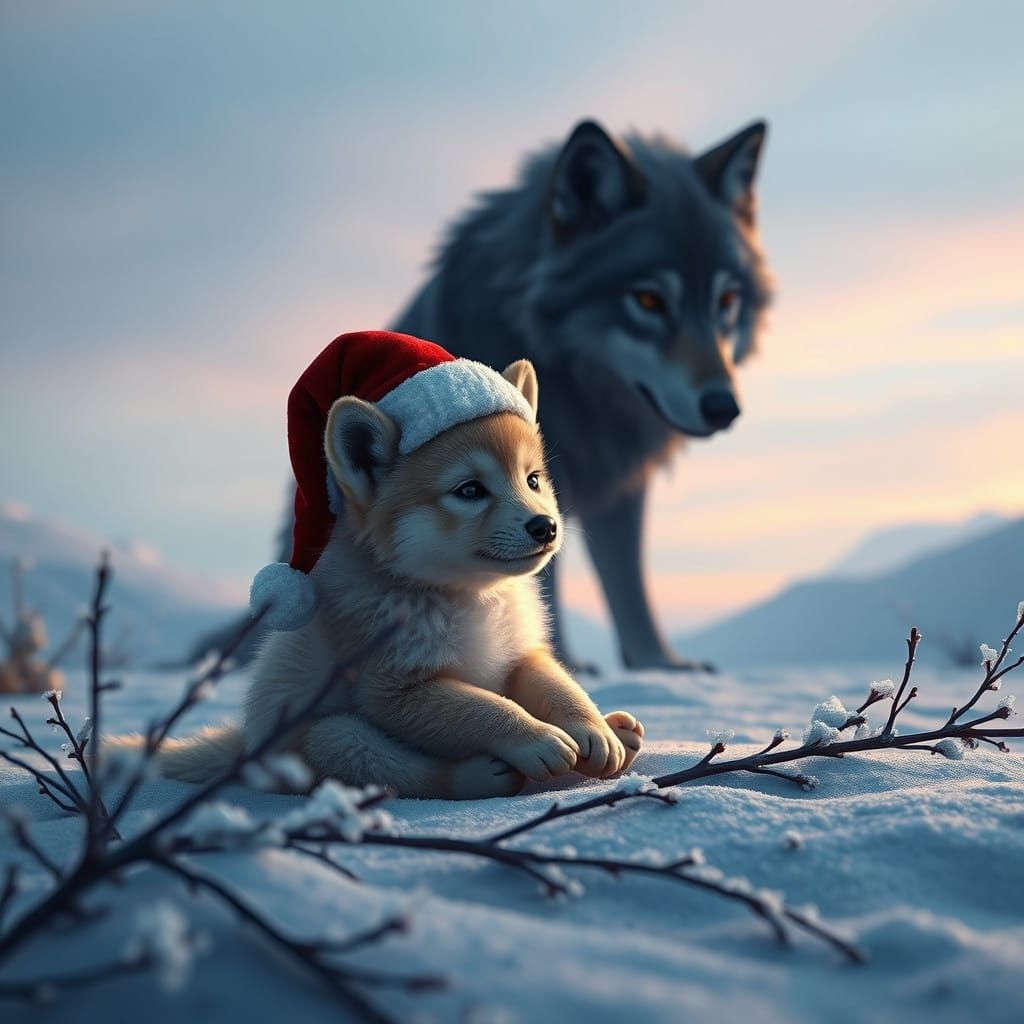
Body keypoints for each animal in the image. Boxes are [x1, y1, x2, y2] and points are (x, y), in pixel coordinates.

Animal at [155, 356, 644, 798]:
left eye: (533, 480)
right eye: (469, 490)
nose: (546, 526)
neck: (467, 598)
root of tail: (246, 747)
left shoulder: (517, 654)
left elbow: (556, 683)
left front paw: (592, 729)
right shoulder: (393, 687)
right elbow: (481, 707)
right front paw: (537, 738)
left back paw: (621, 729)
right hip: (333, 737)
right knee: (405, 774)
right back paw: (481, 774)